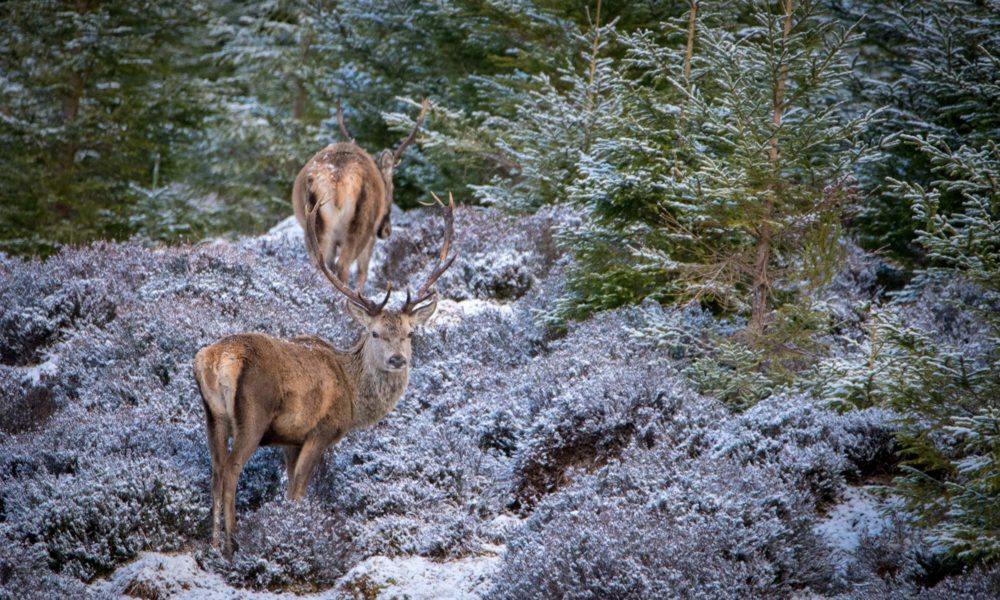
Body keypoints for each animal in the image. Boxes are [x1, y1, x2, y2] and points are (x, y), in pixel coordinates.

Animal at [193, 192, 455, 558]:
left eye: (409, 333)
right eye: (374, 333)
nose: (397, 359)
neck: (353, 395)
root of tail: (217, 360)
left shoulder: (290, 439)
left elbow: (290, 485)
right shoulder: (321, 430)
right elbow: (297, 491)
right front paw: (295, 532)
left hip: (213, 417)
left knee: (215, 471)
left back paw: (214, 544)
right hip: (253, 415)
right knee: (231, 471)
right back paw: (233, 546)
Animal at [291, 99, 430, 292]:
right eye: (391, 189)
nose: (386, 230)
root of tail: (337, 177)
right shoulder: (371, 238)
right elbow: (363, 273)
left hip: (314, 224)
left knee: (321, 265)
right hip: (363, 223)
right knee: (343, 266)